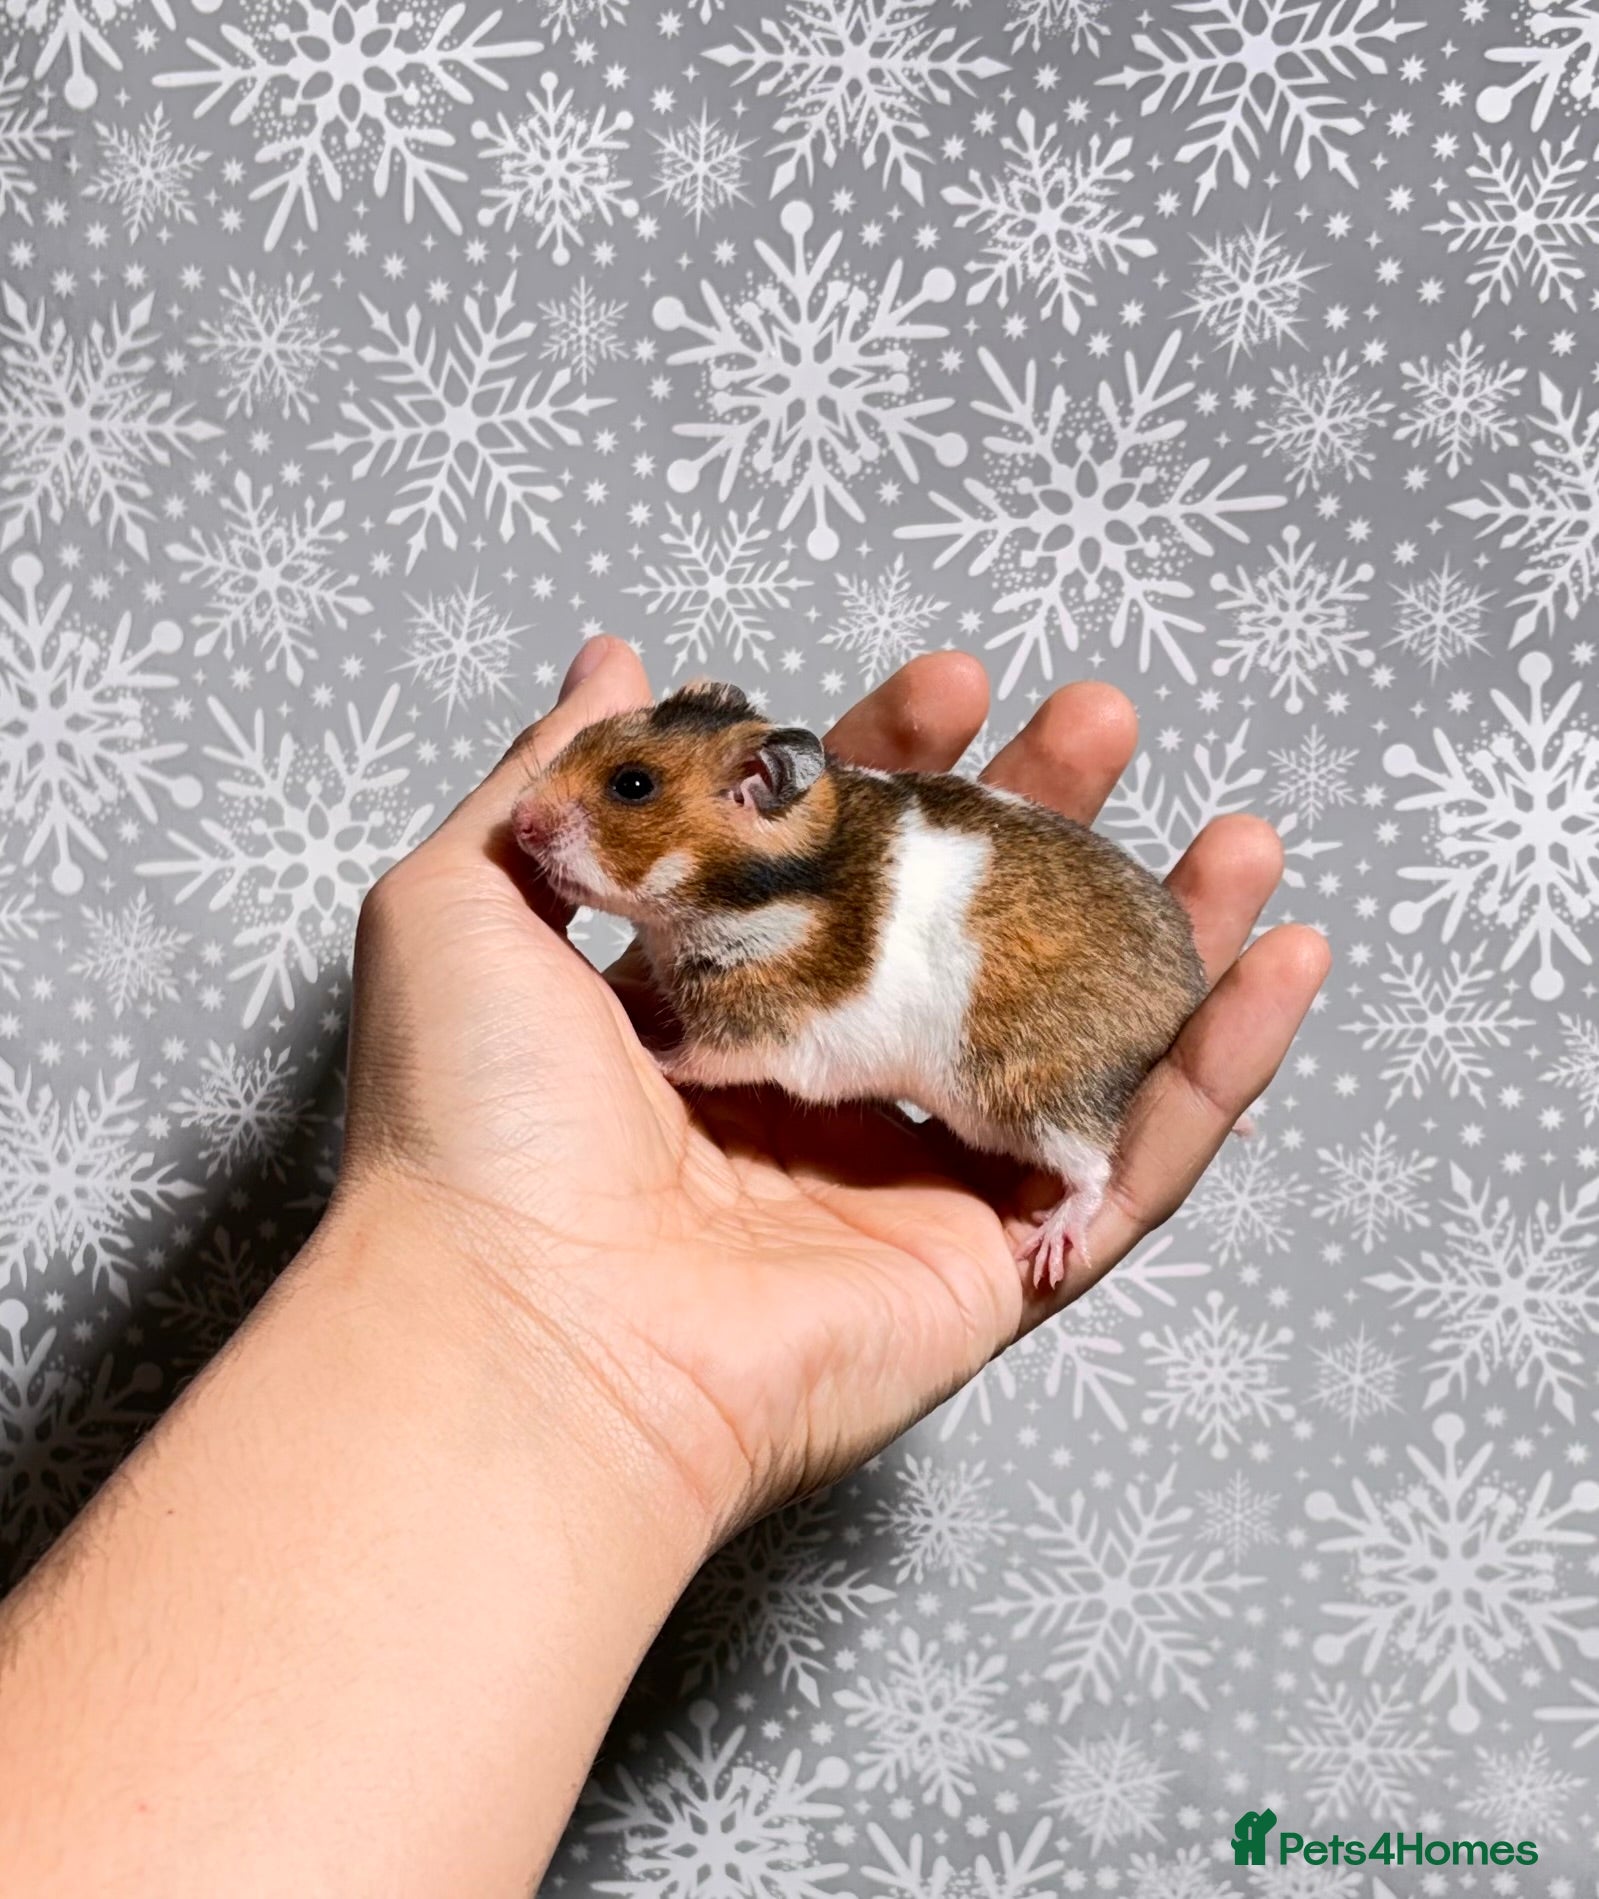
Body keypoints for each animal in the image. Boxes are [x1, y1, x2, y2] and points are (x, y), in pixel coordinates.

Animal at [511, 682, 1207, 1291]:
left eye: (633, 784)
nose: (517, 821)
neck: (753, 891)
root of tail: (1189, 991)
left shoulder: (757, 1028)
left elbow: (698, 1059)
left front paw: (650, 1052)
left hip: (1035, 1090)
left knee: (1093, 1170)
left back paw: (1048, 1249)